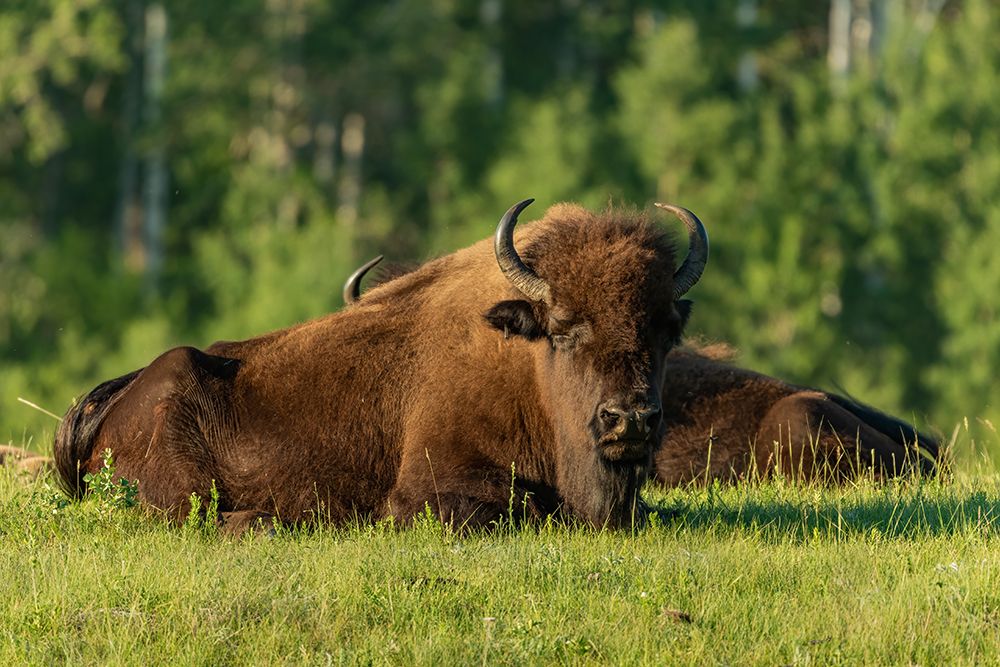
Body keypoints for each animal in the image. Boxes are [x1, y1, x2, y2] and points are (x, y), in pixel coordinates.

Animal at [54, 200, 708, 531]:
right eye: (565, 328)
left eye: (664, 329)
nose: (630, 420)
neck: (523, 366)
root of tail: (124, 394)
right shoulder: (431, 490)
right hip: (180, 486)